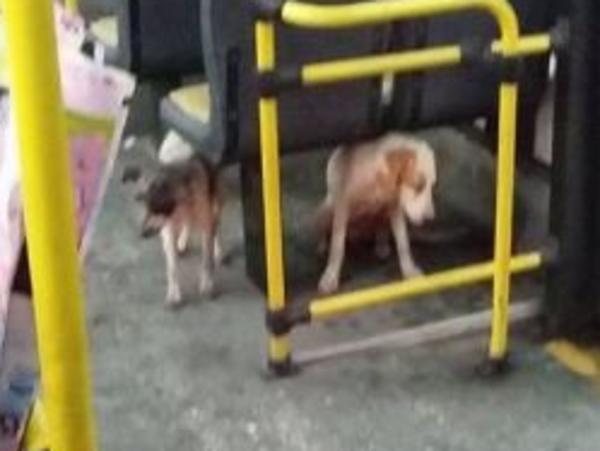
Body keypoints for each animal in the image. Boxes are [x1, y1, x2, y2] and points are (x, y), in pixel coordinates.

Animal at [314, 132, 436, 294]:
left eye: (432, 186)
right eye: (418, 186)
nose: (431, 219)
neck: (377, 177)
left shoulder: (394, 206)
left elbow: (403, 242)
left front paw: (409, 270)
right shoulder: (342, 207)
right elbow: (337, 248)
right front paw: (330, 277)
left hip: (382, 213)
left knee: (380, 226)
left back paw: (381, 245)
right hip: (327, 209)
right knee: (322, 228)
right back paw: (321, 245)